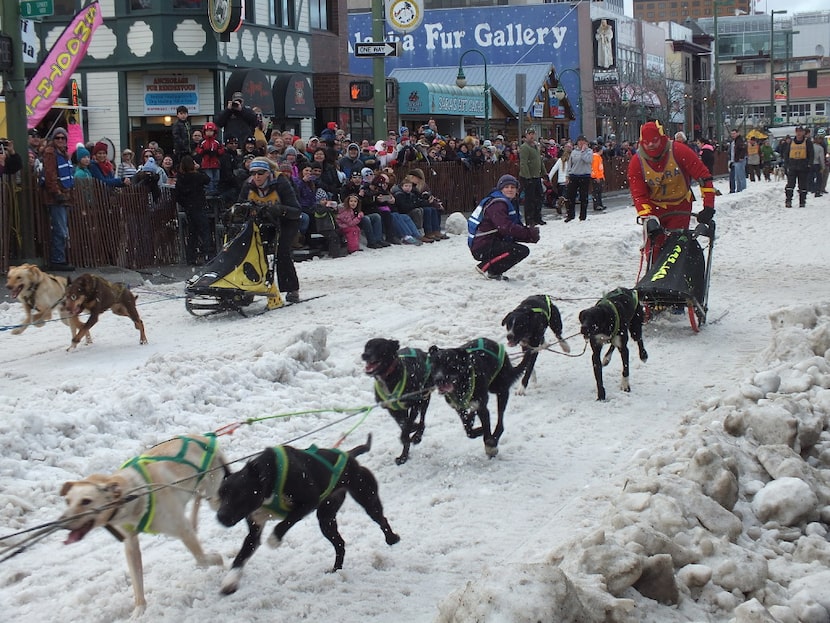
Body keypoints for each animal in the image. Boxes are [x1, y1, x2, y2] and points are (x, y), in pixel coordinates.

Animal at [59, 436, 229, 616]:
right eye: (67, 501)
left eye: (86, 501)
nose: (62, 521)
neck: (136, 495)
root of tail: (207, 438)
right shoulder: (131, 545)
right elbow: (137, 581)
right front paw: (139, 610)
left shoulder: (182, 530)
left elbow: (202, 558)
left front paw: (218, 560)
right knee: (197, 499)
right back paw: (194, 520)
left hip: (214, 499)